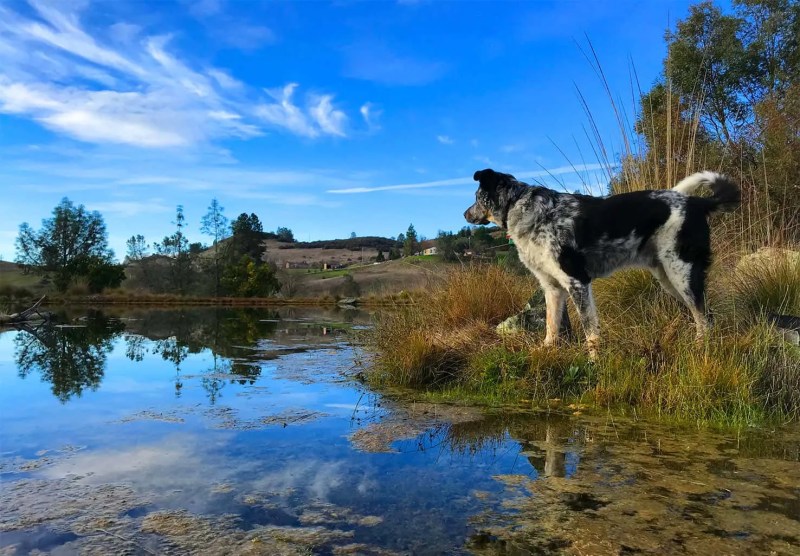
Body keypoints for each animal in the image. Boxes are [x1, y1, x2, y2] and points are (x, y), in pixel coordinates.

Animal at [466, 167, 740, 358]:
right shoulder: (552, 289)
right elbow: (551, 328)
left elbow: (590, 331)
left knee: (706, 317)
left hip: (682, 273)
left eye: (477, 197)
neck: (520, 208)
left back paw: (702, 350)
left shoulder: (577, 282)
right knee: (700, 316)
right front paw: (546, 353)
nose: (464, 214)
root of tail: (697, 202)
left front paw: (594, 362)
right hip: (668, 278)